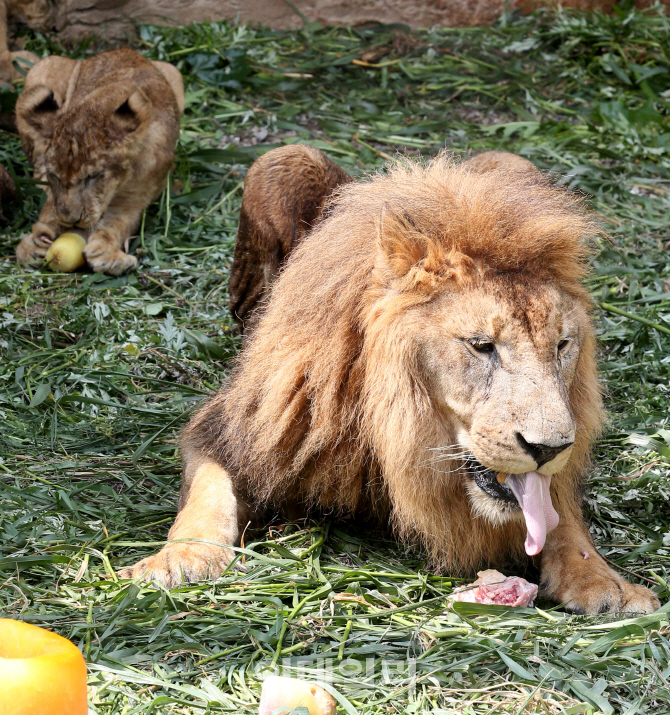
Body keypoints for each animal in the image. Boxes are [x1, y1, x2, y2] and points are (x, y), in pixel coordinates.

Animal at [15, 47, 184, 276]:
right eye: (54, 176)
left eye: (92, 176)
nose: (70, 220)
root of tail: (124, 49)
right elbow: (51, 208)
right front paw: (35, 241)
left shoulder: (134, 198)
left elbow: (116, 224)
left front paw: (107, 254)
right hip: (41, 70)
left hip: (175, 73)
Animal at [122, 147, 660, 616]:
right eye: (481, 345)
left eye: (562, 345)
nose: (549, 447)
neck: (402, 430)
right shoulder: (227, 431)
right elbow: (207, 493)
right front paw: (178, 560)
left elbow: (563, 520)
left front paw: (606, 583)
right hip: (281, 162)